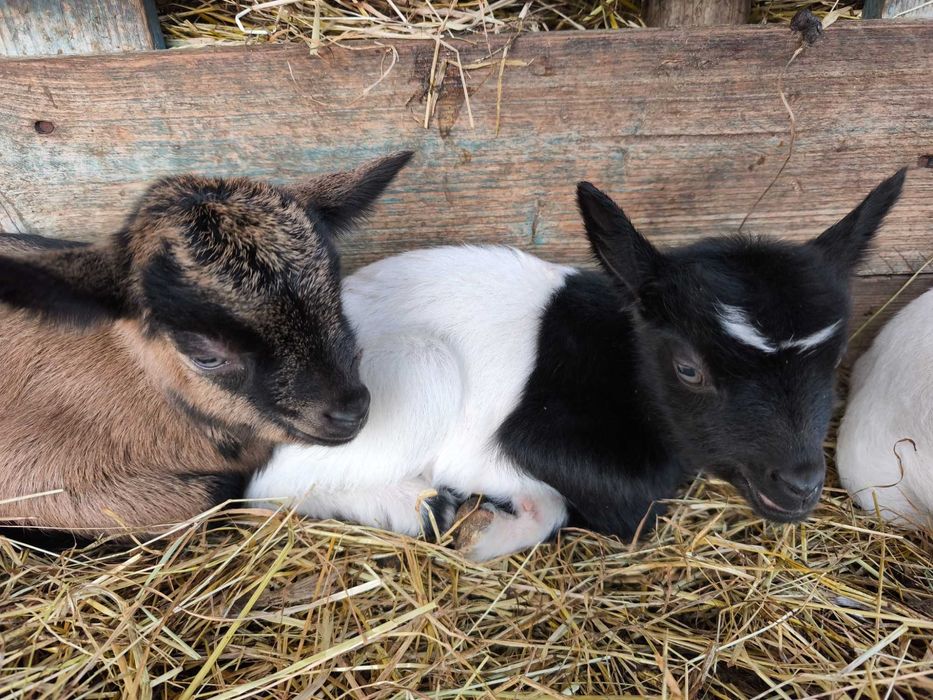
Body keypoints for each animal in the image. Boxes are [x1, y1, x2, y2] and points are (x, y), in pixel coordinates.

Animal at [247, 168, 906, 560]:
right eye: (688, 368)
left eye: (836, 356)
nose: (800, 483)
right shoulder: (525, 440)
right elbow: (617, 508)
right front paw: (485, 529)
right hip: (417, 371)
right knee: (266, 491)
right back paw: (414, 505)